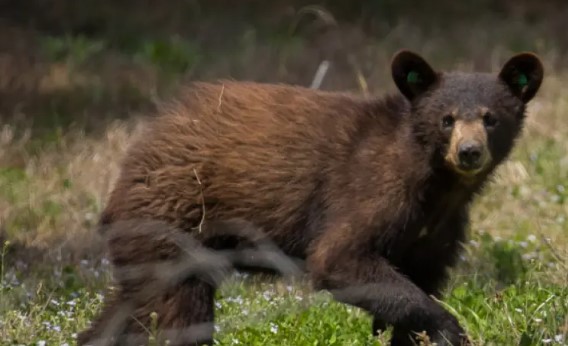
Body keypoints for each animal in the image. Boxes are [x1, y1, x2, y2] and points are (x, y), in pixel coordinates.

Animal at [77, 49, 544, 346]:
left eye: (490, 118)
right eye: (447, 119)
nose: (469, 152)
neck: (436, 185)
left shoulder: (439, 231)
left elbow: (424, 283)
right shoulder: (371, 193)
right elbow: (340, 259)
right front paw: (450, 329)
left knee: (126, 312)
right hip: (173, 226)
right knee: (178, 315)